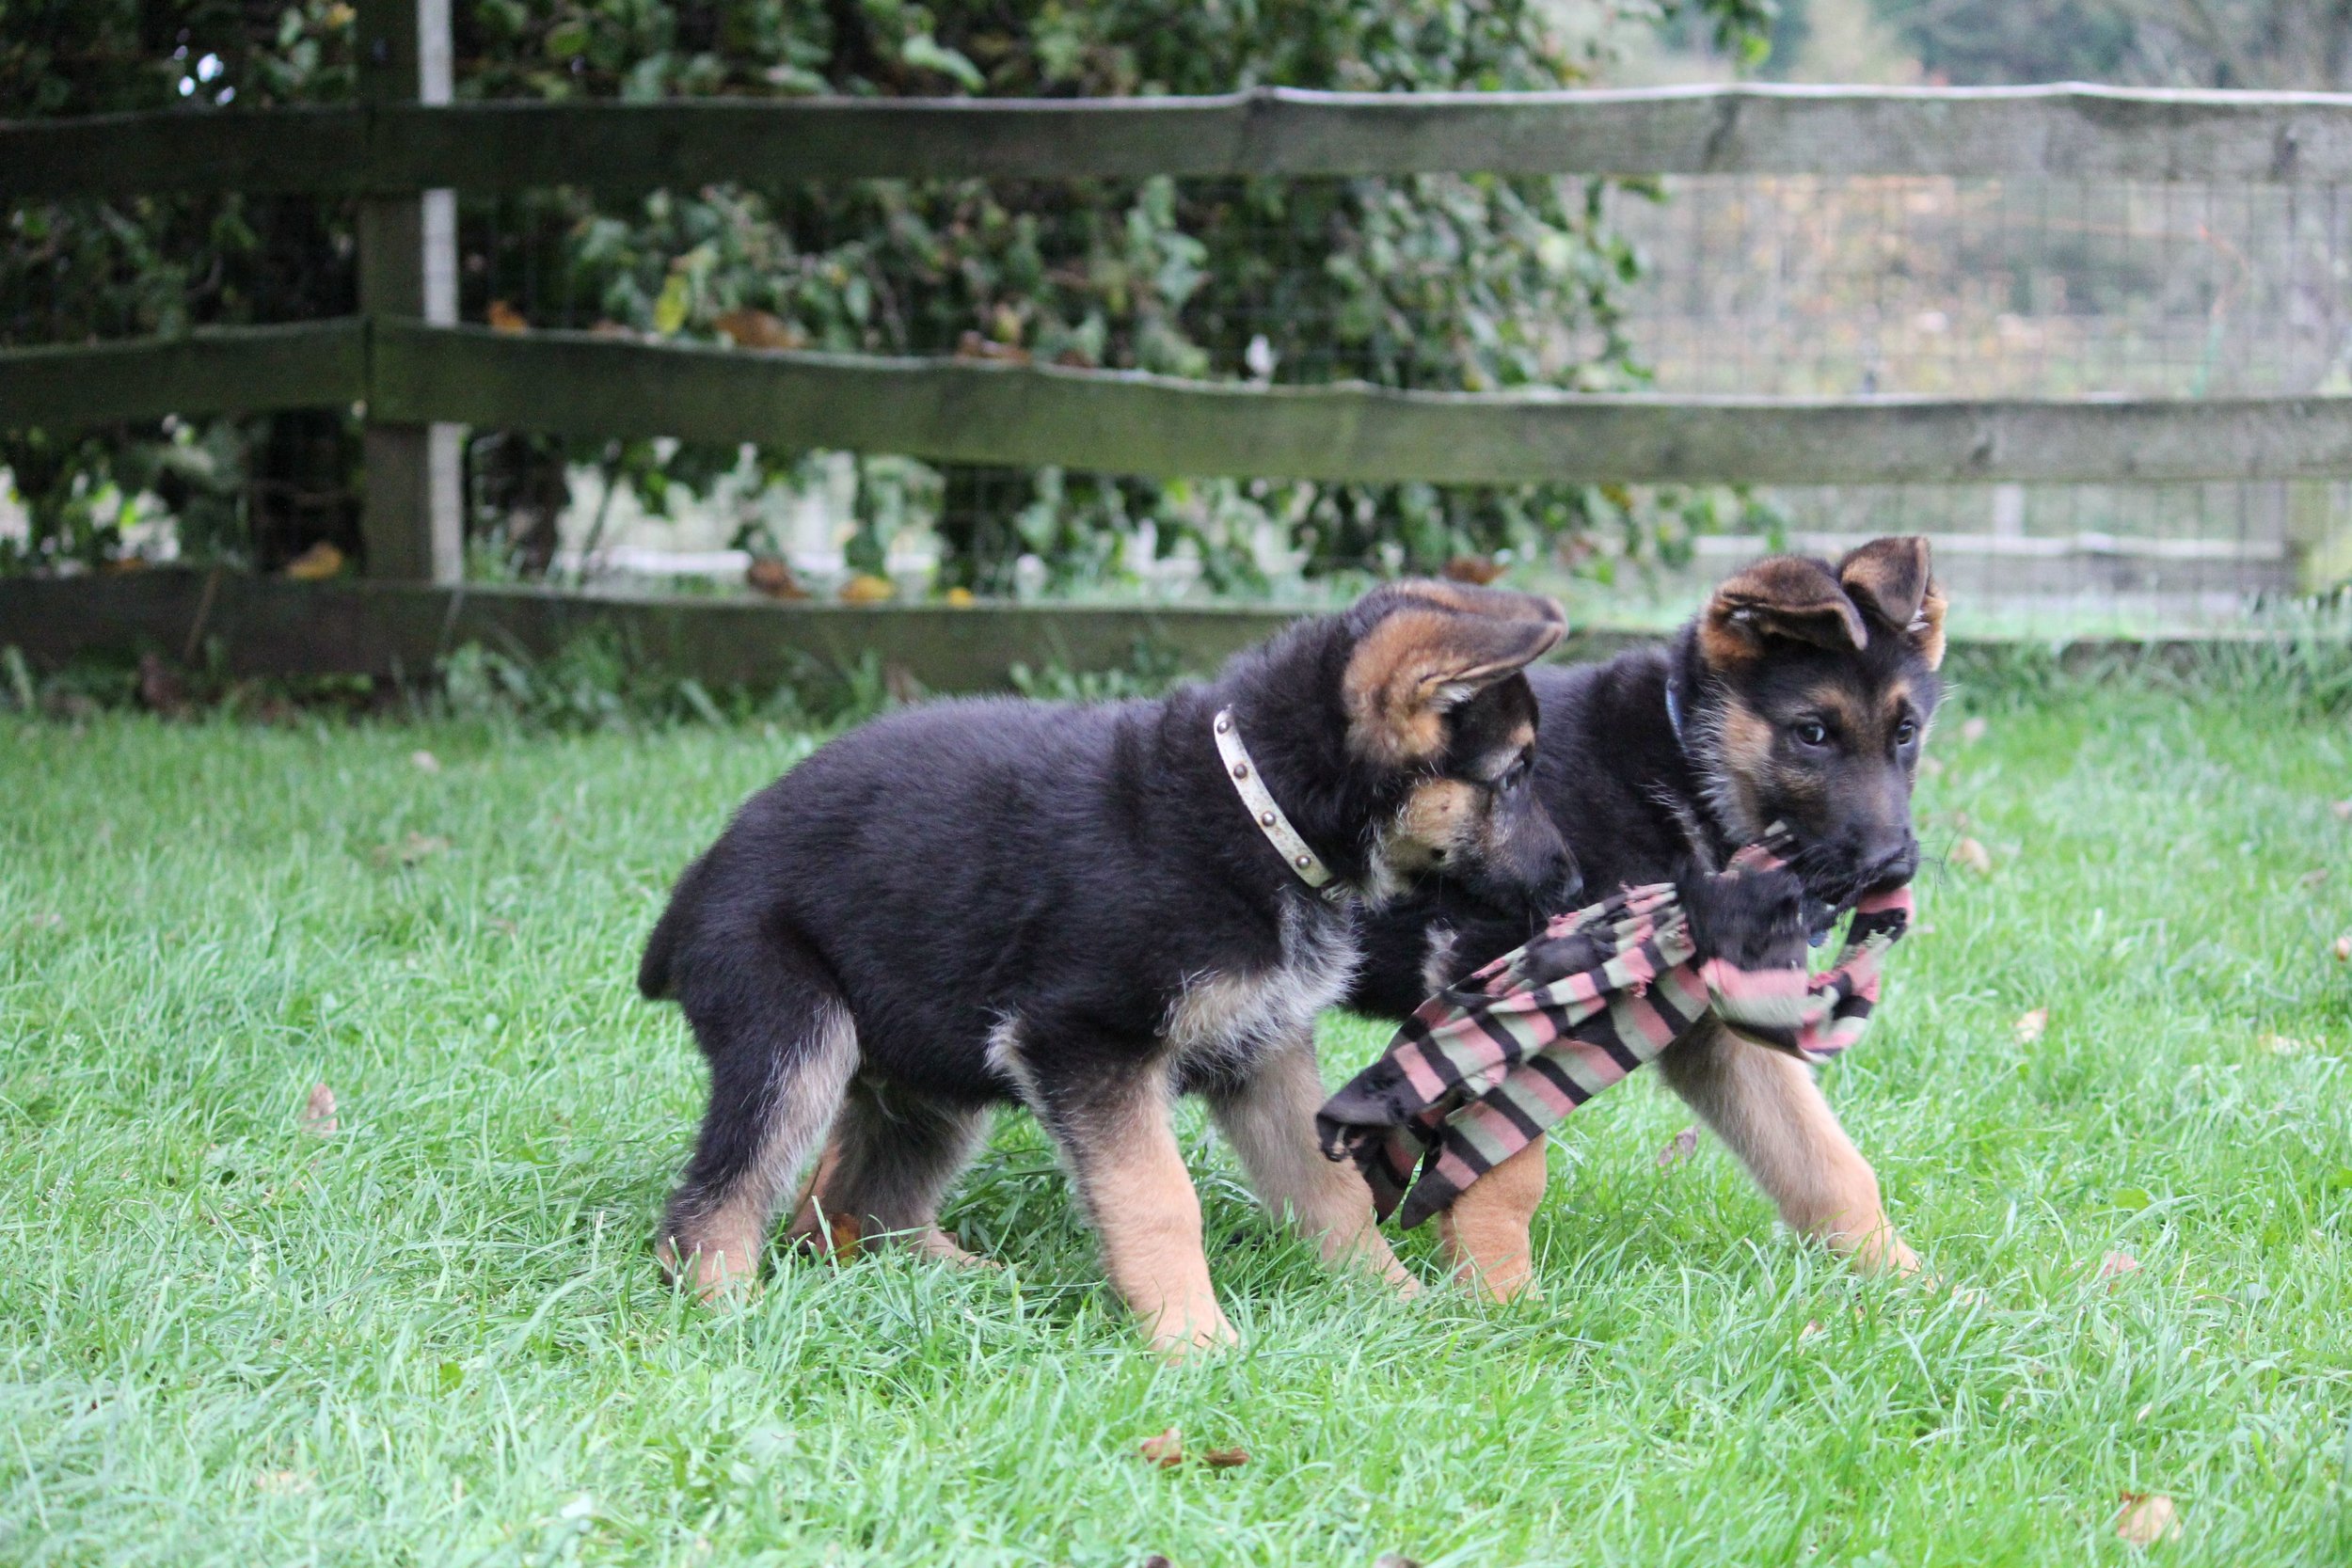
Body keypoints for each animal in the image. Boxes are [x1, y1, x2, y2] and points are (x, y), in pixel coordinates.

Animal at [635, 576, 1571, 1354]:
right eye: (1512, 776)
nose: (1566, 884)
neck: (1258, 808)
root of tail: (693, 885)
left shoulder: (1262, 1046)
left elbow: (1326, 1185)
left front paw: (1395, 1300)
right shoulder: (1086, 1041)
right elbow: (1158, 1197)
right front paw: (1194, 1341)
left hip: (932, 1067)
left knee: (856, 1208)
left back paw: (964, 1286)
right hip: (797, 1031)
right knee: (713, 1200)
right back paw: (731, 1312)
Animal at [1355, 540, 1938, 1297]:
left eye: (1906, 732)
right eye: (1811, 733)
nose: (1892, 867)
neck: (1681, 770)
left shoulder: (1710, 1024)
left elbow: (1825, 1163)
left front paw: (1914, 1287)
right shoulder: (1493, 975)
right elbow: (1499, 1169)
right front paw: (1503, 1302)